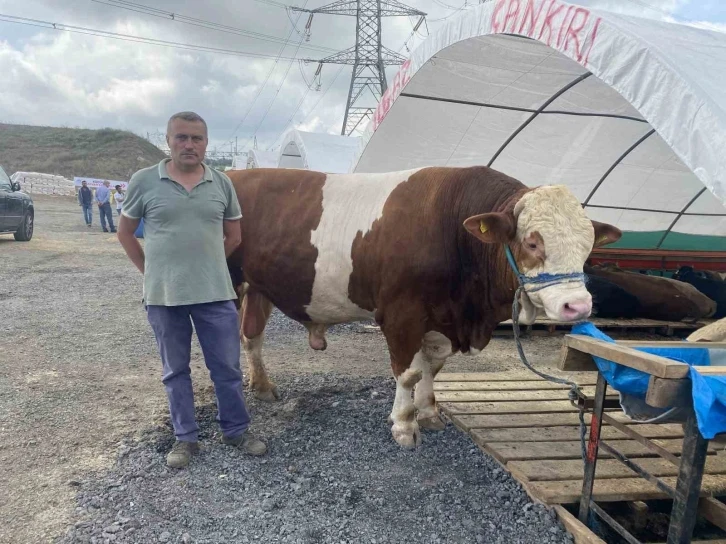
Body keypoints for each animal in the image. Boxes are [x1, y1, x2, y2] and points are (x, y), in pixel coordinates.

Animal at [226, 166, 620, 446]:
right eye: (532, 243)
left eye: (588, 246)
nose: (577, 305)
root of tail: (235, 173)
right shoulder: (400, 315)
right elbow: (409, 372)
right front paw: (404, 425)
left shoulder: (439, 319)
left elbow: (432, 368)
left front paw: (428, 413)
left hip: (258, 288)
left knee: (251, 337)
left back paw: (262, 386)